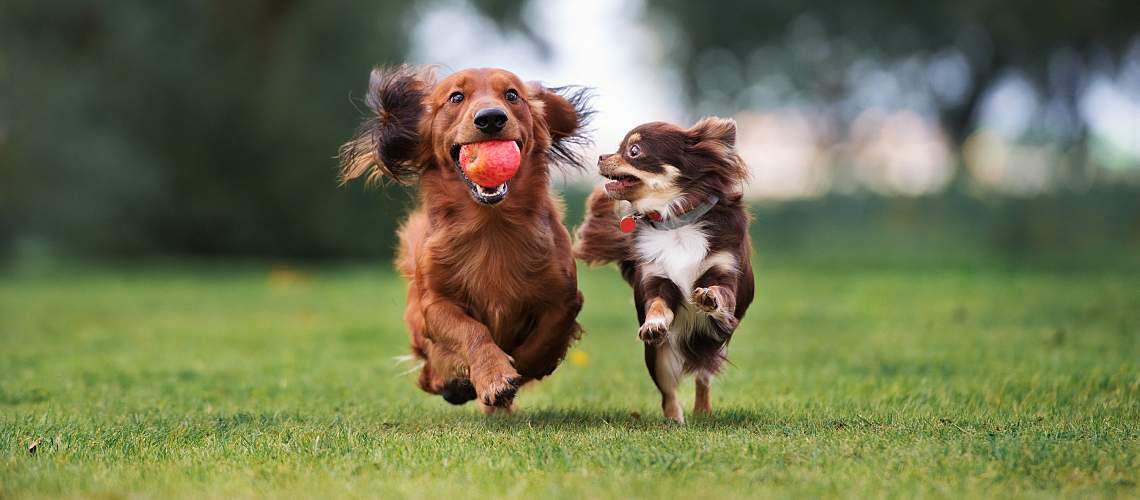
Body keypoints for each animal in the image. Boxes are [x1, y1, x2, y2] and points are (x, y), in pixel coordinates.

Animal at [337, 65, 592, 414]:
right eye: (456, 97)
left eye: (512, 94)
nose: (491, 118)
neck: (490, 226)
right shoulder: (435, 304)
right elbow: (472, 331)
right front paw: (493, 375)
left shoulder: (564, 297)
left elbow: (543, 340)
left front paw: (517, 371)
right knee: (428, 372)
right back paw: (453, 383)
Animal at [574, 116, 752, 423]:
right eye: (619, 147)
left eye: (634, 151)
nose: (601, 156)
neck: (675, 222)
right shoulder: (657, 280)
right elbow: (657, 305)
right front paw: (654, 323)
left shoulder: (726, 274)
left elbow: (720, 292)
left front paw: (709, 297)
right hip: (658, 358)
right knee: (669, 393)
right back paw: (674, 421)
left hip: (713, 345)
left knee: (702, 377)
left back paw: (702, 411)